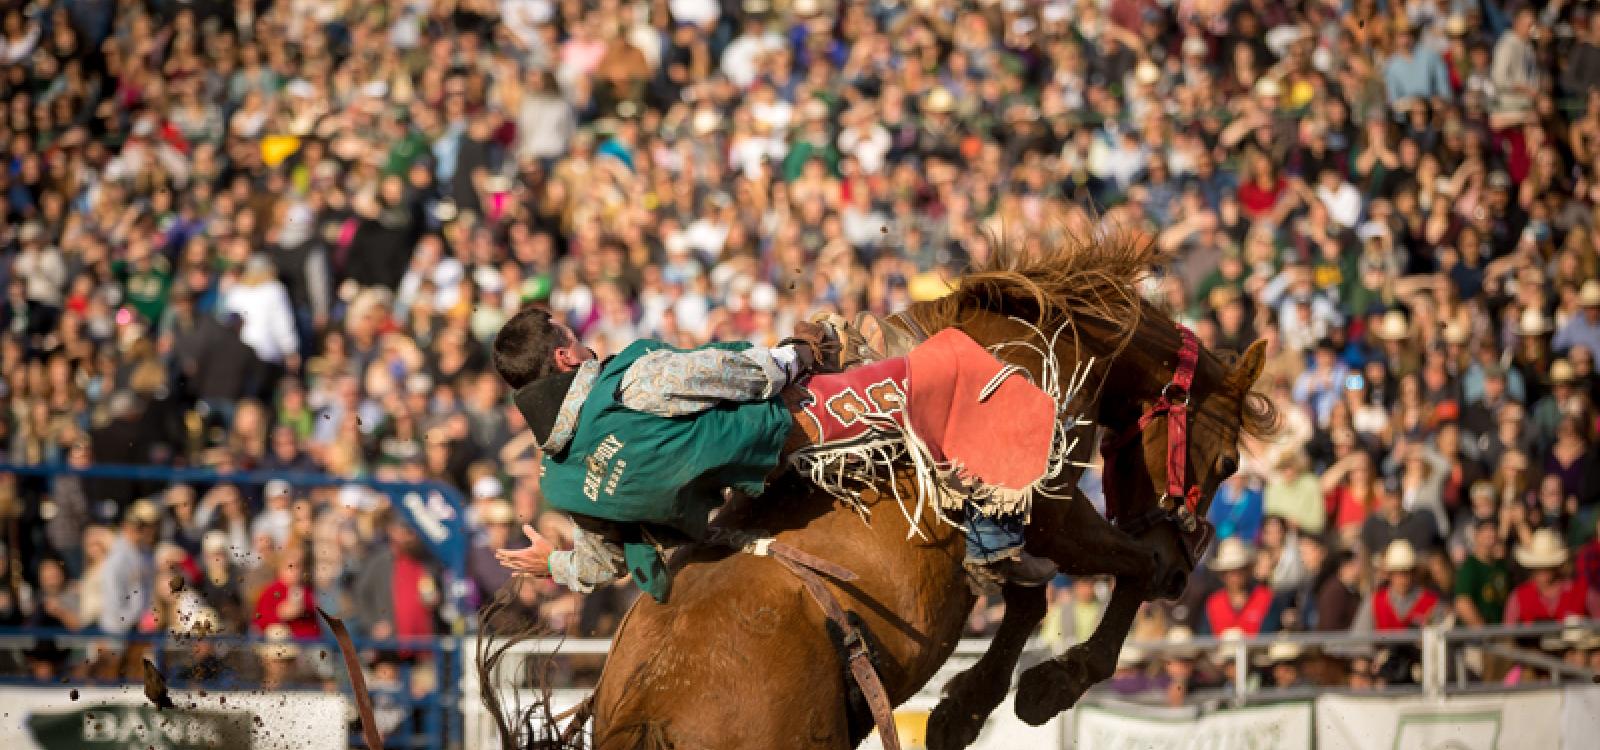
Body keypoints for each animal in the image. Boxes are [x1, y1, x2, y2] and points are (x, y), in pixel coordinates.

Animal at [479, 226, 1273, 749]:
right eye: (1229, 462)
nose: (1186, 570)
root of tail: (647, 712)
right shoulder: (1048, 504)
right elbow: (1114, 570)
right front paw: (1042, 690)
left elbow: (1032, 592)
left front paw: (964, 711)